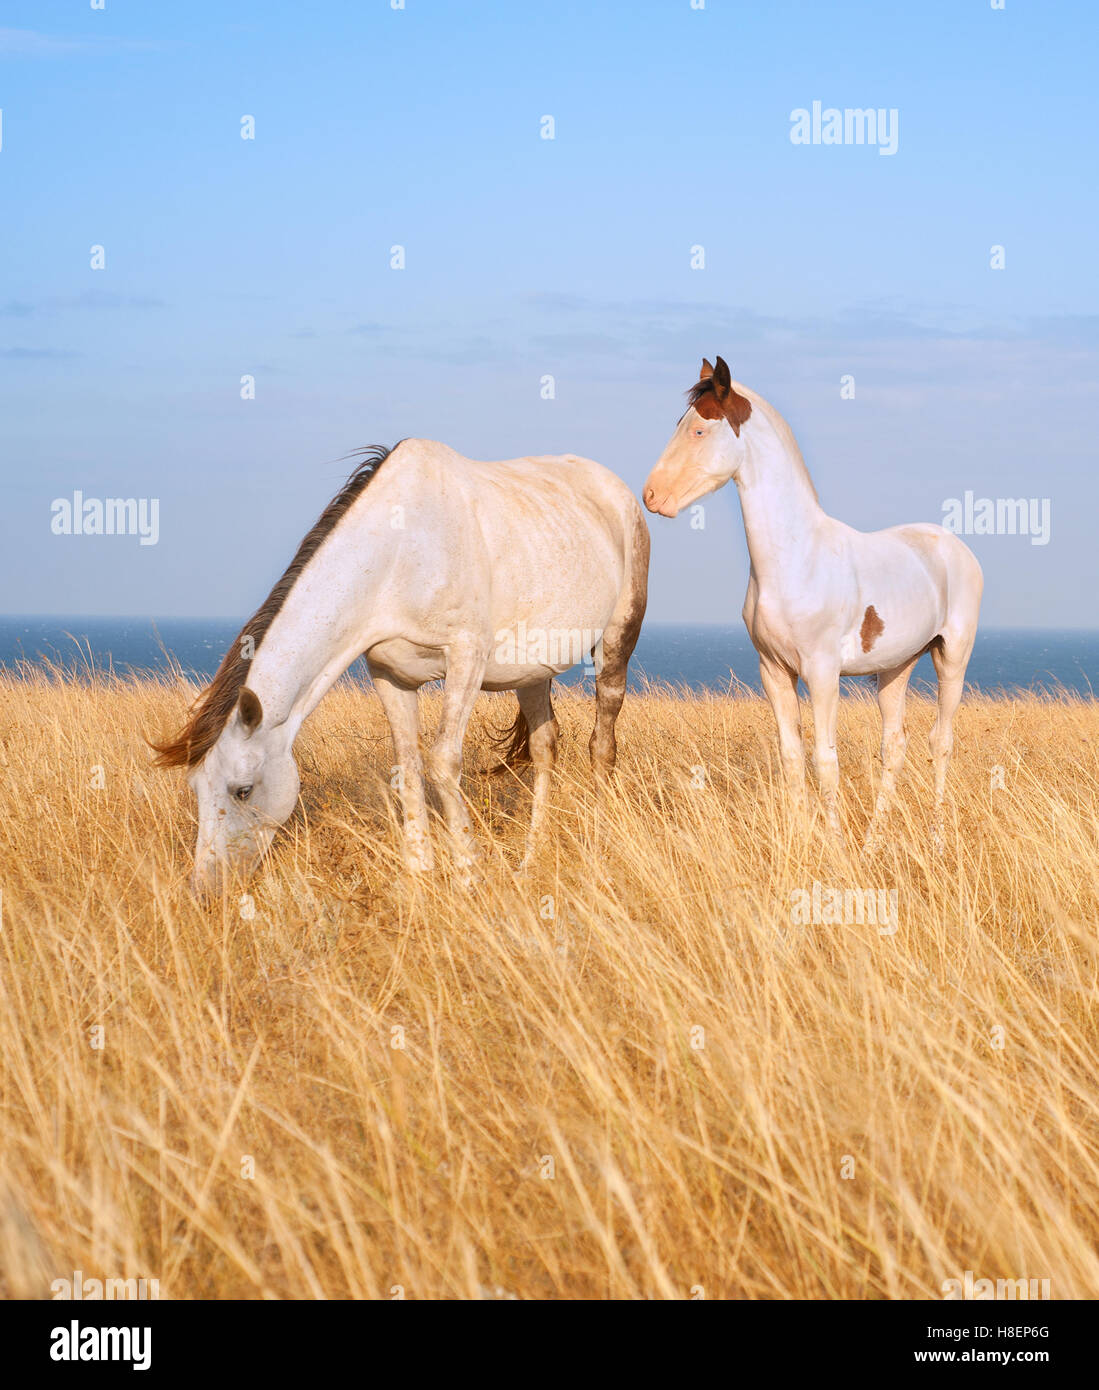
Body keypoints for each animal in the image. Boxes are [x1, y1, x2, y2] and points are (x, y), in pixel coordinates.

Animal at [153, 439, 649, 896]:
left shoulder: (466, 657)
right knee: (546, 747)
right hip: (532, 671)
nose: (204, 889)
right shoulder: (388, 674)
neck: (397, 554)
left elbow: (444, 761)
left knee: (602, 743)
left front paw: (469, 876)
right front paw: (420, 875)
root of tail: (617, 491)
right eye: (196, 788)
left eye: (243, 790)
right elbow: (408, 768)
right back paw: (531, 859)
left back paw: (597, 842)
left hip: (615, 642)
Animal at [642, 357, 982, 849]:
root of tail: (955, 546)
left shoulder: (822, 673)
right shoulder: (774, 670)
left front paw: (835, 846)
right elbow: (791, 756)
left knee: (941, 741)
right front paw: (801, 838)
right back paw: (873, 841)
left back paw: (936, 839)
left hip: (952, 656)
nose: (652, 496)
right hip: (896, 667)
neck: (796, 557)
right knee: (894, 746)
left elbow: (825, 760)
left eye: (700, 430)